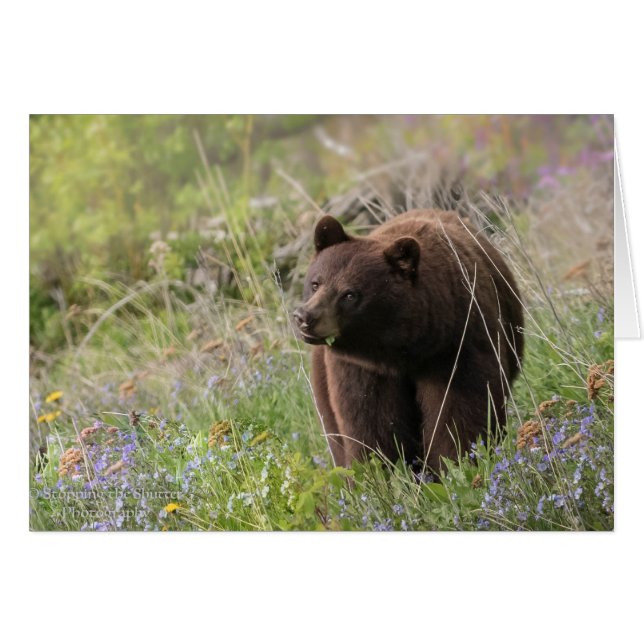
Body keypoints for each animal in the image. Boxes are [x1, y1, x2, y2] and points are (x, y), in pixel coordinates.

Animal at [293, 209, 524, 474]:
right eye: (315, 283)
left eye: (350, 294)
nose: (305, 317)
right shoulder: (360, 368)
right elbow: (370, 425)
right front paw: (378, 471)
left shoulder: (458, 345)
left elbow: (461, 413)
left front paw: (456, 464)